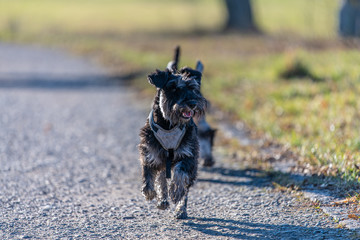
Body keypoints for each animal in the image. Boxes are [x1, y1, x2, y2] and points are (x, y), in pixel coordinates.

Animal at [139, 47, 205, 219]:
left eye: (192, 87)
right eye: (174, 88)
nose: (193, 103)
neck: (168, 125)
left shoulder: (188, 155)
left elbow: (181, 175)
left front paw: (176, 192)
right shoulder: (150, 152)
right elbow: (149, 174)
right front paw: (149, 192)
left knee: (184, 186)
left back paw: (181, 209)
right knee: (162, 177)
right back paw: (162, 200)